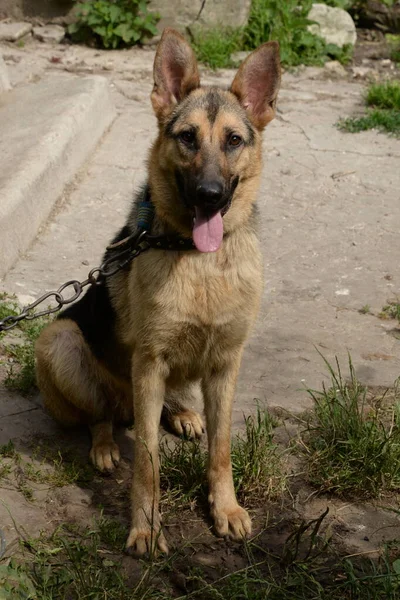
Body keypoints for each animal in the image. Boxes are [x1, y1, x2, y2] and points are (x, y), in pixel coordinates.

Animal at [35, 27, 282, 552]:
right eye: (187, 137)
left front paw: (225, 508)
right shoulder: (148, 363)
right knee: (102, 412)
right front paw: (146, 525)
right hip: (60, 341)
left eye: (233, 140)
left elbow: (221, 447)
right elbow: (148, 458)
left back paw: (184, 412)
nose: (209, 195)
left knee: (168, 402)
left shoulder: (226, 363)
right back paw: (106, 444)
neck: (198, 259)